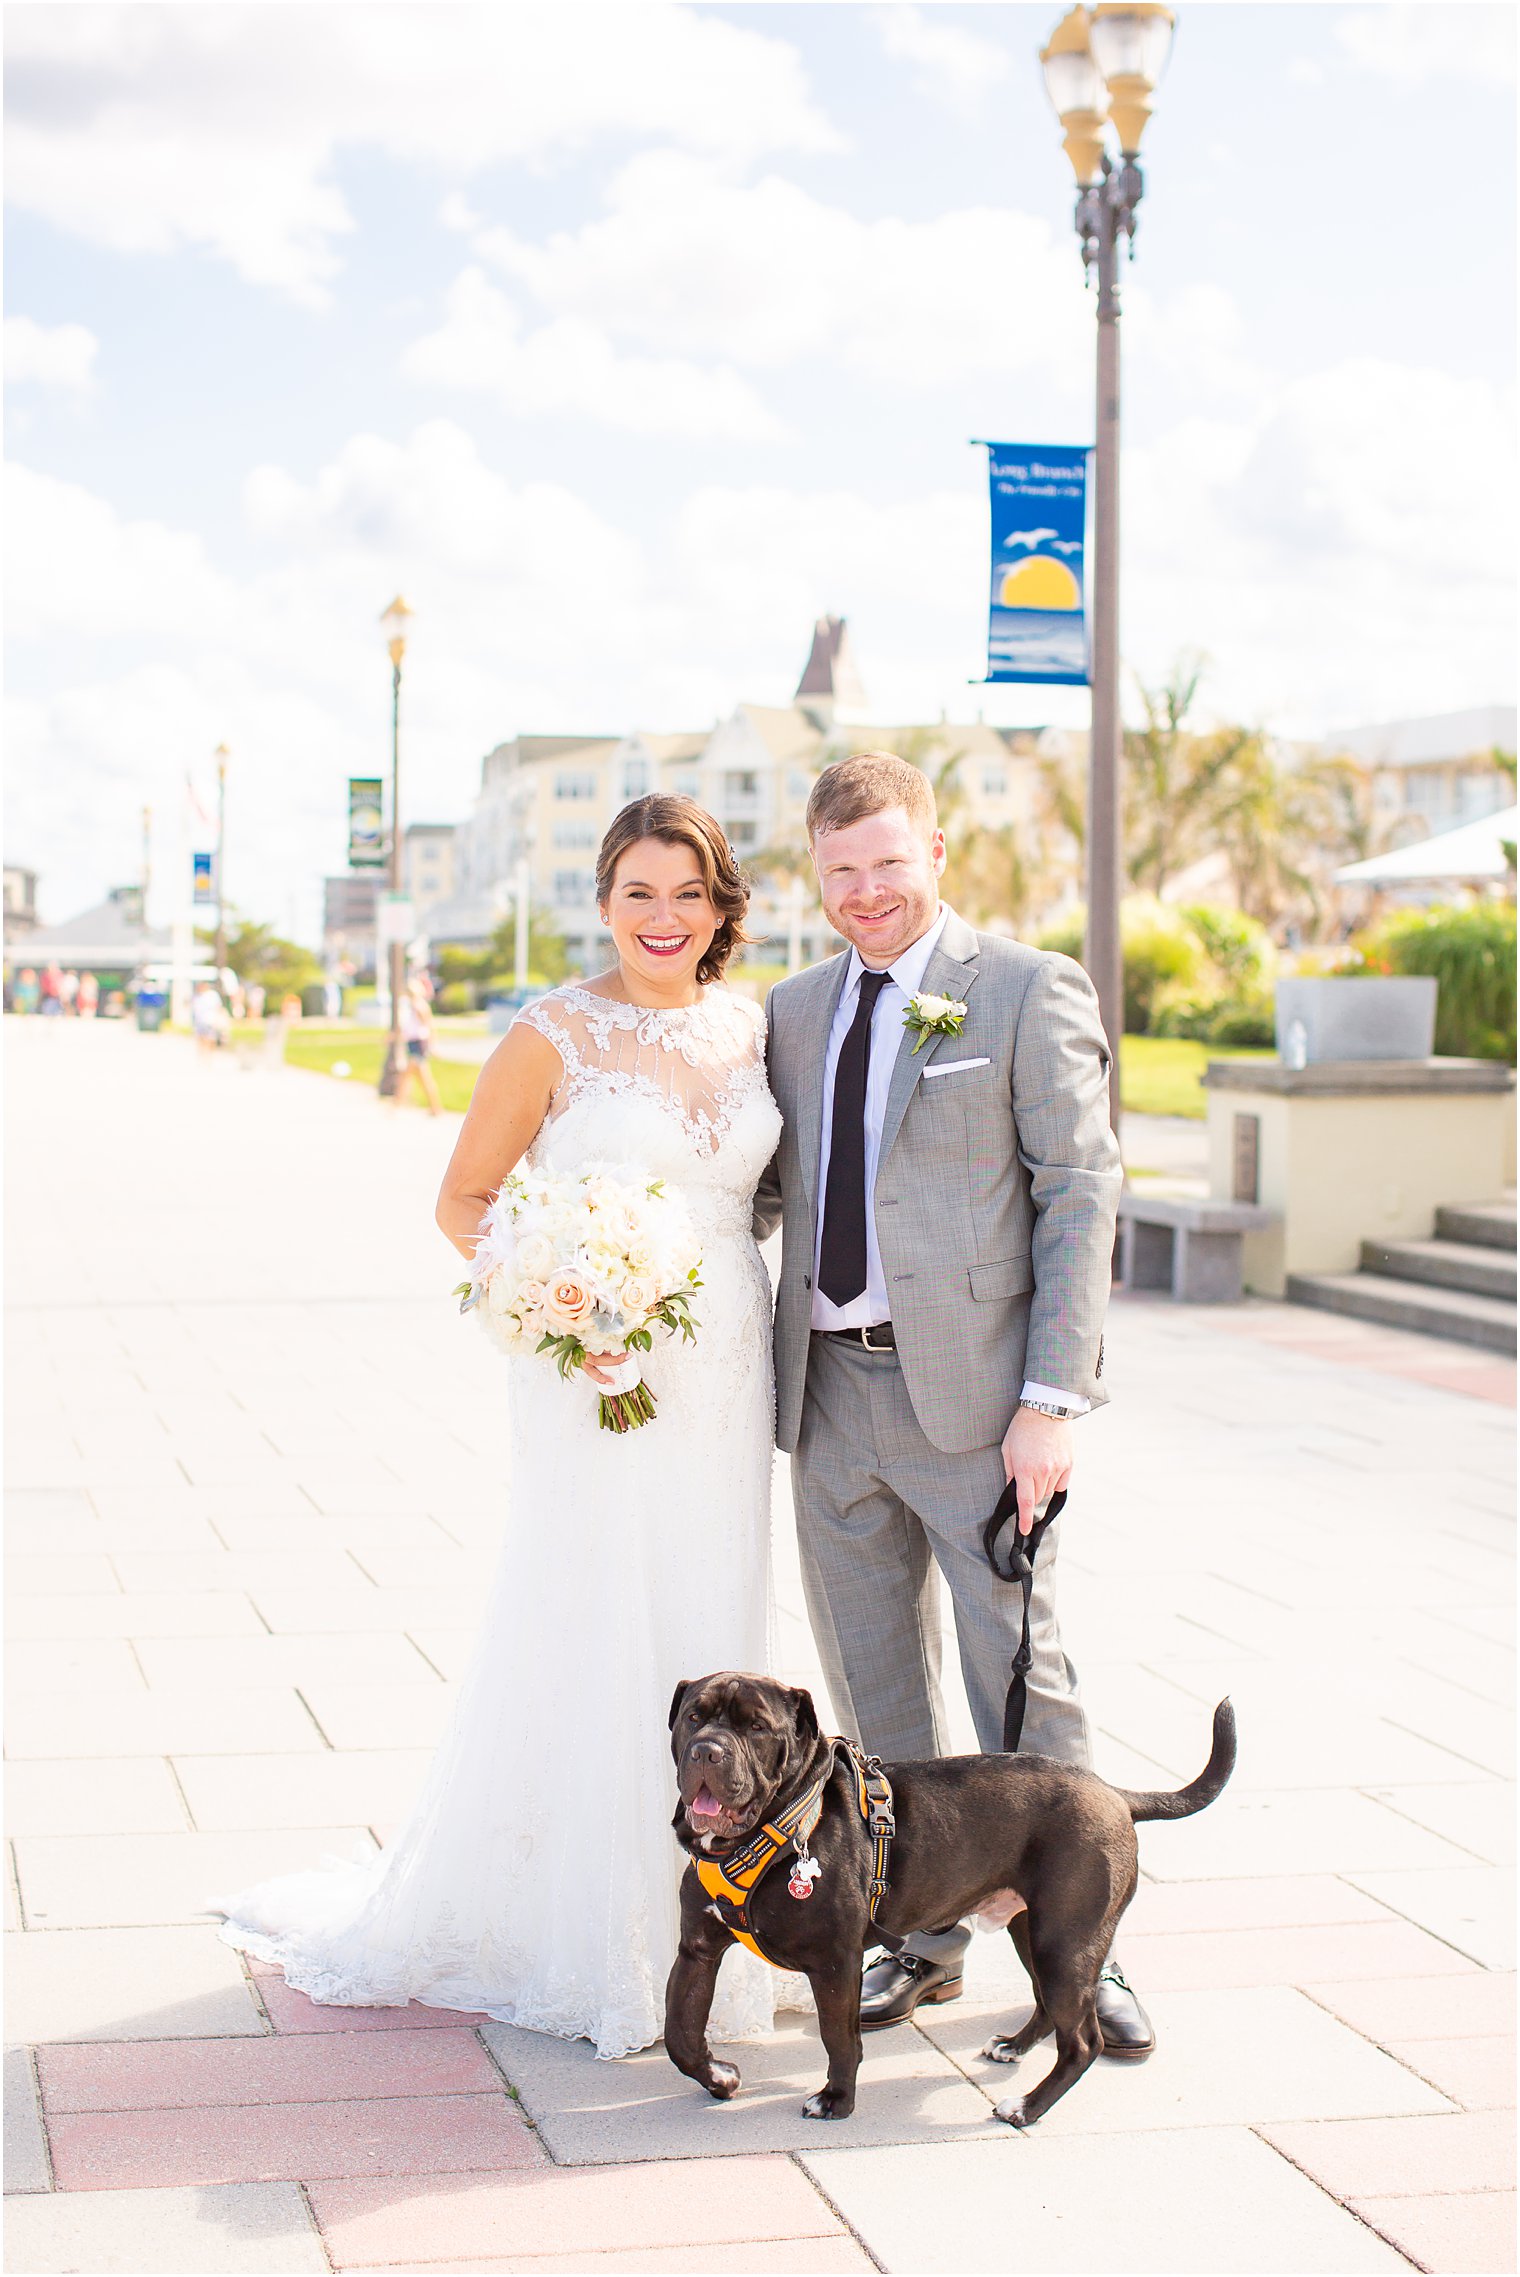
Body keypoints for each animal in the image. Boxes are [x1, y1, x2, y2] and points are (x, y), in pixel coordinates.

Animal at [664, 1666, 1237, 2122]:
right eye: (693, 1718)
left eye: (757, 1727)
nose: (707, 1751)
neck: (773, 1825)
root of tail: (1114, 1793)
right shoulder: (697, 1952)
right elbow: (679, 2037)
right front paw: (719, 2076)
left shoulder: (835, 1963)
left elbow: (840, 2038)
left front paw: (837, 2100)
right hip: (1034, 1932)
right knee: (1047, 2004)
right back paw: (1012, 2047)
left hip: (1066, 1941)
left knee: (1082, 2039)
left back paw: (1026, 2108)